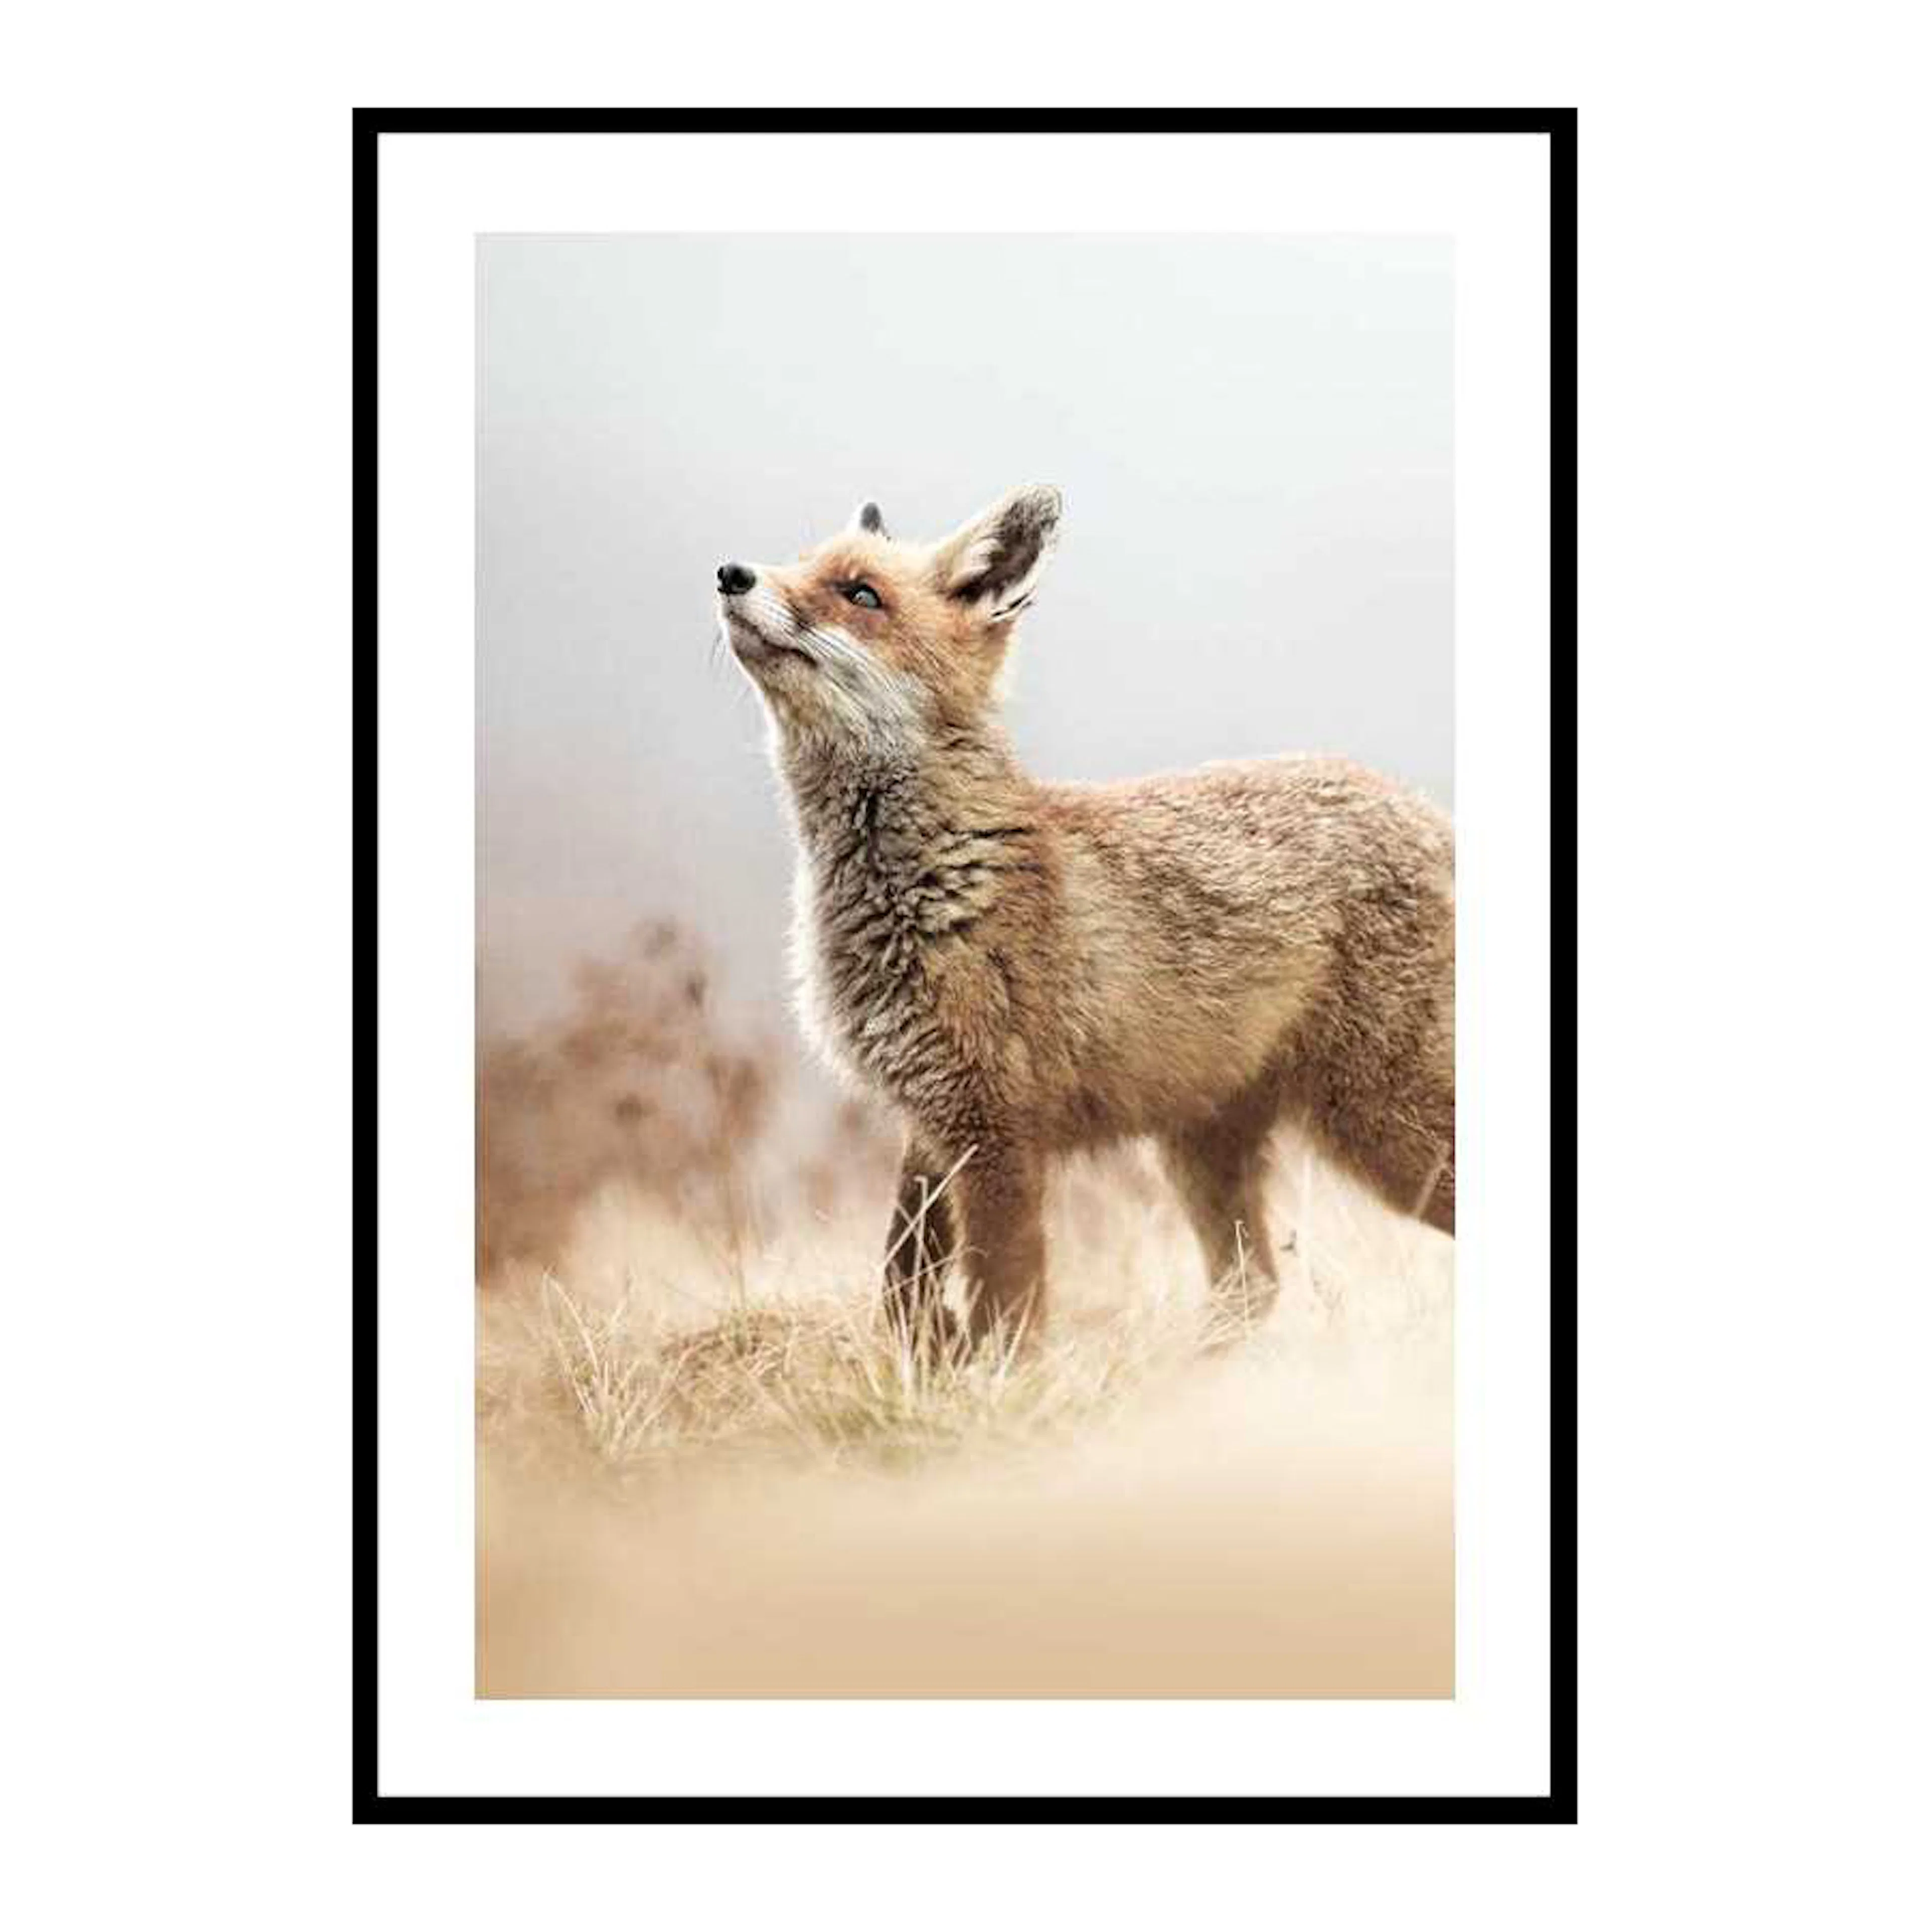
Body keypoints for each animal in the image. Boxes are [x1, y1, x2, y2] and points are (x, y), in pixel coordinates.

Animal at [716, 485, 1454, 1352]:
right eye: (799, 563)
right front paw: (922, 1363)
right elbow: (904, 1282)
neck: (931, 878)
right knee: (1253, 1289)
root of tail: (1423, 808)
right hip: (1203, 1150)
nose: (732, 573)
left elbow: (1006, 1304)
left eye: (861, 595)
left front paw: (997, 1379)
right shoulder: (930, 1119)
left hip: (1385, 1128)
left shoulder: (996, 1130)